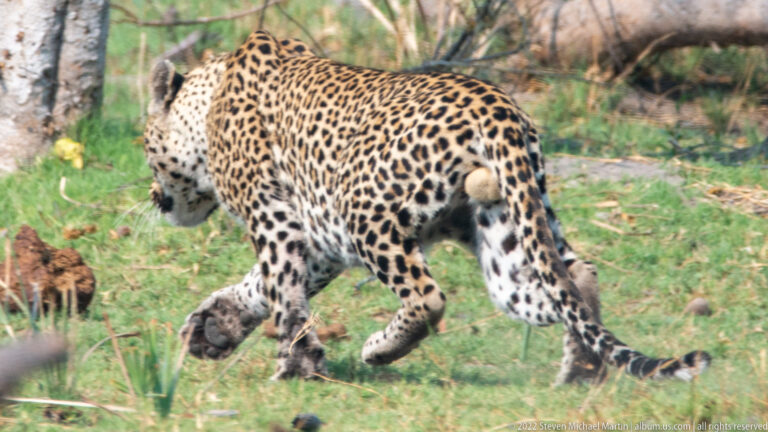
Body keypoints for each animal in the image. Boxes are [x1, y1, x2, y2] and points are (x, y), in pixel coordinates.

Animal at [143, 30, 710, 382]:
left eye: (146, 148)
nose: (154, 198)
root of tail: (499, 106)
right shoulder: (321, 238)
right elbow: (263, 286)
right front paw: (215, 326)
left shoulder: (278, 219)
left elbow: (283, 291)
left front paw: (295, 368)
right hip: (507, 240)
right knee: (573, 281)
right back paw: (579, 375)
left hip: (366, 213)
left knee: (428, 296)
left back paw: (380, 349)